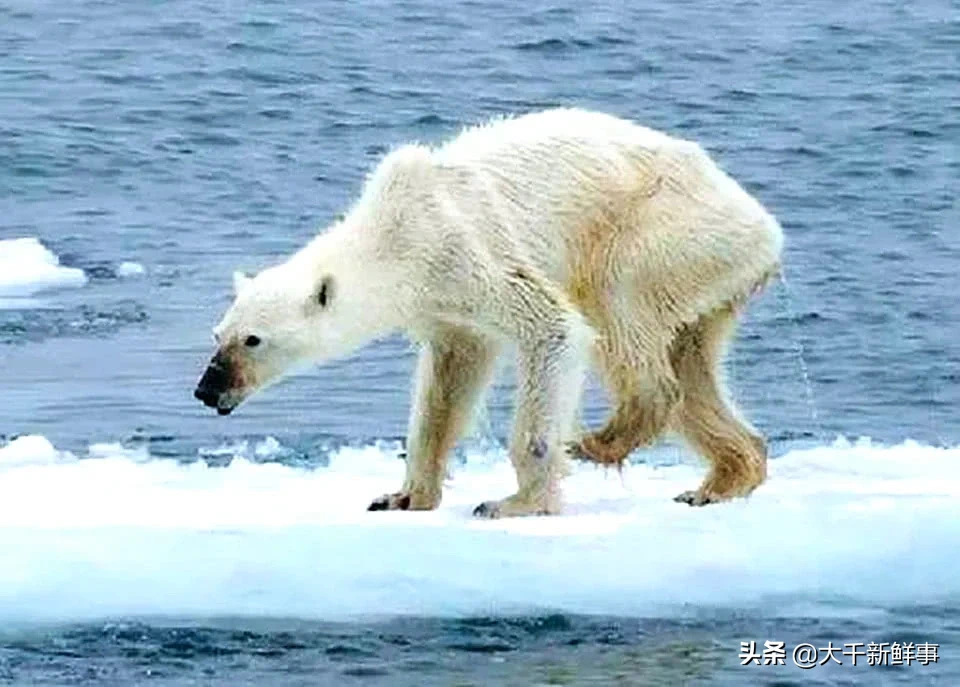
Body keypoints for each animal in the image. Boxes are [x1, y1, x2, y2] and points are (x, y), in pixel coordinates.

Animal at [193, 107, 780, 516]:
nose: (206, 389)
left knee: (619, 311)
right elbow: (448, 383)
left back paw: (601, 439)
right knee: (692, 362)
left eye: (253, 340)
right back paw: (720, 479)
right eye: (218, 334)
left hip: (661, 233)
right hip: (707, 276)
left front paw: (514, 502)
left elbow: (554, 327)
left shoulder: (467, 252)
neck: (396, 233)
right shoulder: (444, 305)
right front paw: (402, 495)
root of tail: (765, 226)